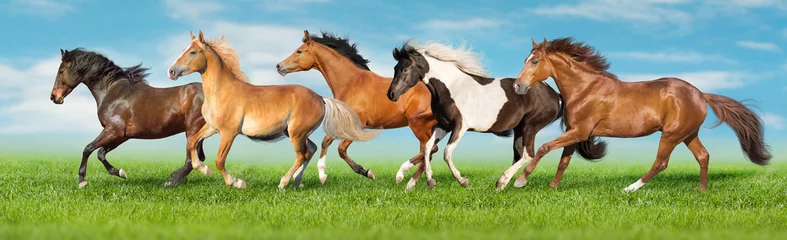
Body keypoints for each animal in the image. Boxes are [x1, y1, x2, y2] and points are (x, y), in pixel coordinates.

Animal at [50, 48, 208, 188]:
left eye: (61, 71)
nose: (53, 97)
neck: (113, 93)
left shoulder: (113, 130)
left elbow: (88, 149)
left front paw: (82, 181)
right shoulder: (122, 136)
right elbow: (101, 153)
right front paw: (120, 172)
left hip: (192, 129)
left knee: (191, 160)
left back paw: (171, 181)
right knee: (197, 159)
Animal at [276, 30, 438, 184]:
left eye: (299, 51)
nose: (279, 66)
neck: (352, 83)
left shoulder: (357, 126)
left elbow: (341, 149)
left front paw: (367, 172)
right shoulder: (344, 124)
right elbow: (326, 141)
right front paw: (322, 176)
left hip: (417, 124)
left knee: (430, 149)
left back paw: (402, 174)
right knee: (428, 152)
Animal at [384, 41, 608, 191]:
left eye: (405, 68)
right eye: (395, 68)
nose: (391, 94)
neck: (451, 87)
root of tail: (556, 95)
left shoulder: (460, 126)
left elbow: (446, 152)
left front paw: (463, 181)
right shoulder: (443, 125)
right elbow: (429, 147)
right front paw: (426, 181)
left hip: (530, 126)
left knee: (529, 154)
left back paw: (503, 181)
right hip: (519, 129)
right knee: (520, 154)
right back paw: (505, 183)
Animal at [508, 37, 772, 192]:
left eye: (535, 61)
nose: (518, 87)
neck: (585, 89)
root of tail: (700, 94)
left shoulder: (580, 132)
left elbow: (544, 148)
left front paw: (520, 180)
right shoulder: (576, 133)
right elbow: (563, 161)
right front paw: (552, 187)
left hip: (671, 135)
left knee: (661, 163)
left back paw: (631, 188)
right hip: (688, 134)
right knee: (703, 156)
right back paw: (701, 191)